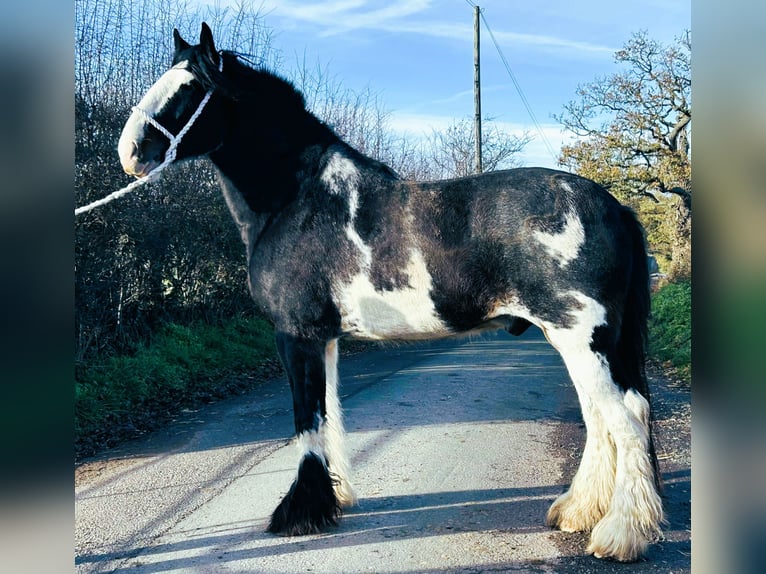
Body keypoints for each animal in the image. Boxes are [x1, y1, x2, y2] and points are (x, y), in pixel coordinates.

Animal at [117, 23, 664, 562]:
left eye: (189, 89)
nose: (130, 152)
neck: (298, 199)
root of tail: (613, 206)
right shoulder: (325, 338)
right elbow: (330, 416)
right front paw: (334, 500)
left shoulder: (295, 336)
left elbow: (307, 421)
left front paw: (300, 514)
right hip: (575, 341)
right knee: (602, 419)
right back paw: (577, 511)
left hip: (582, 339)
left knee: (627, 418)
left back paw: (619, 534)